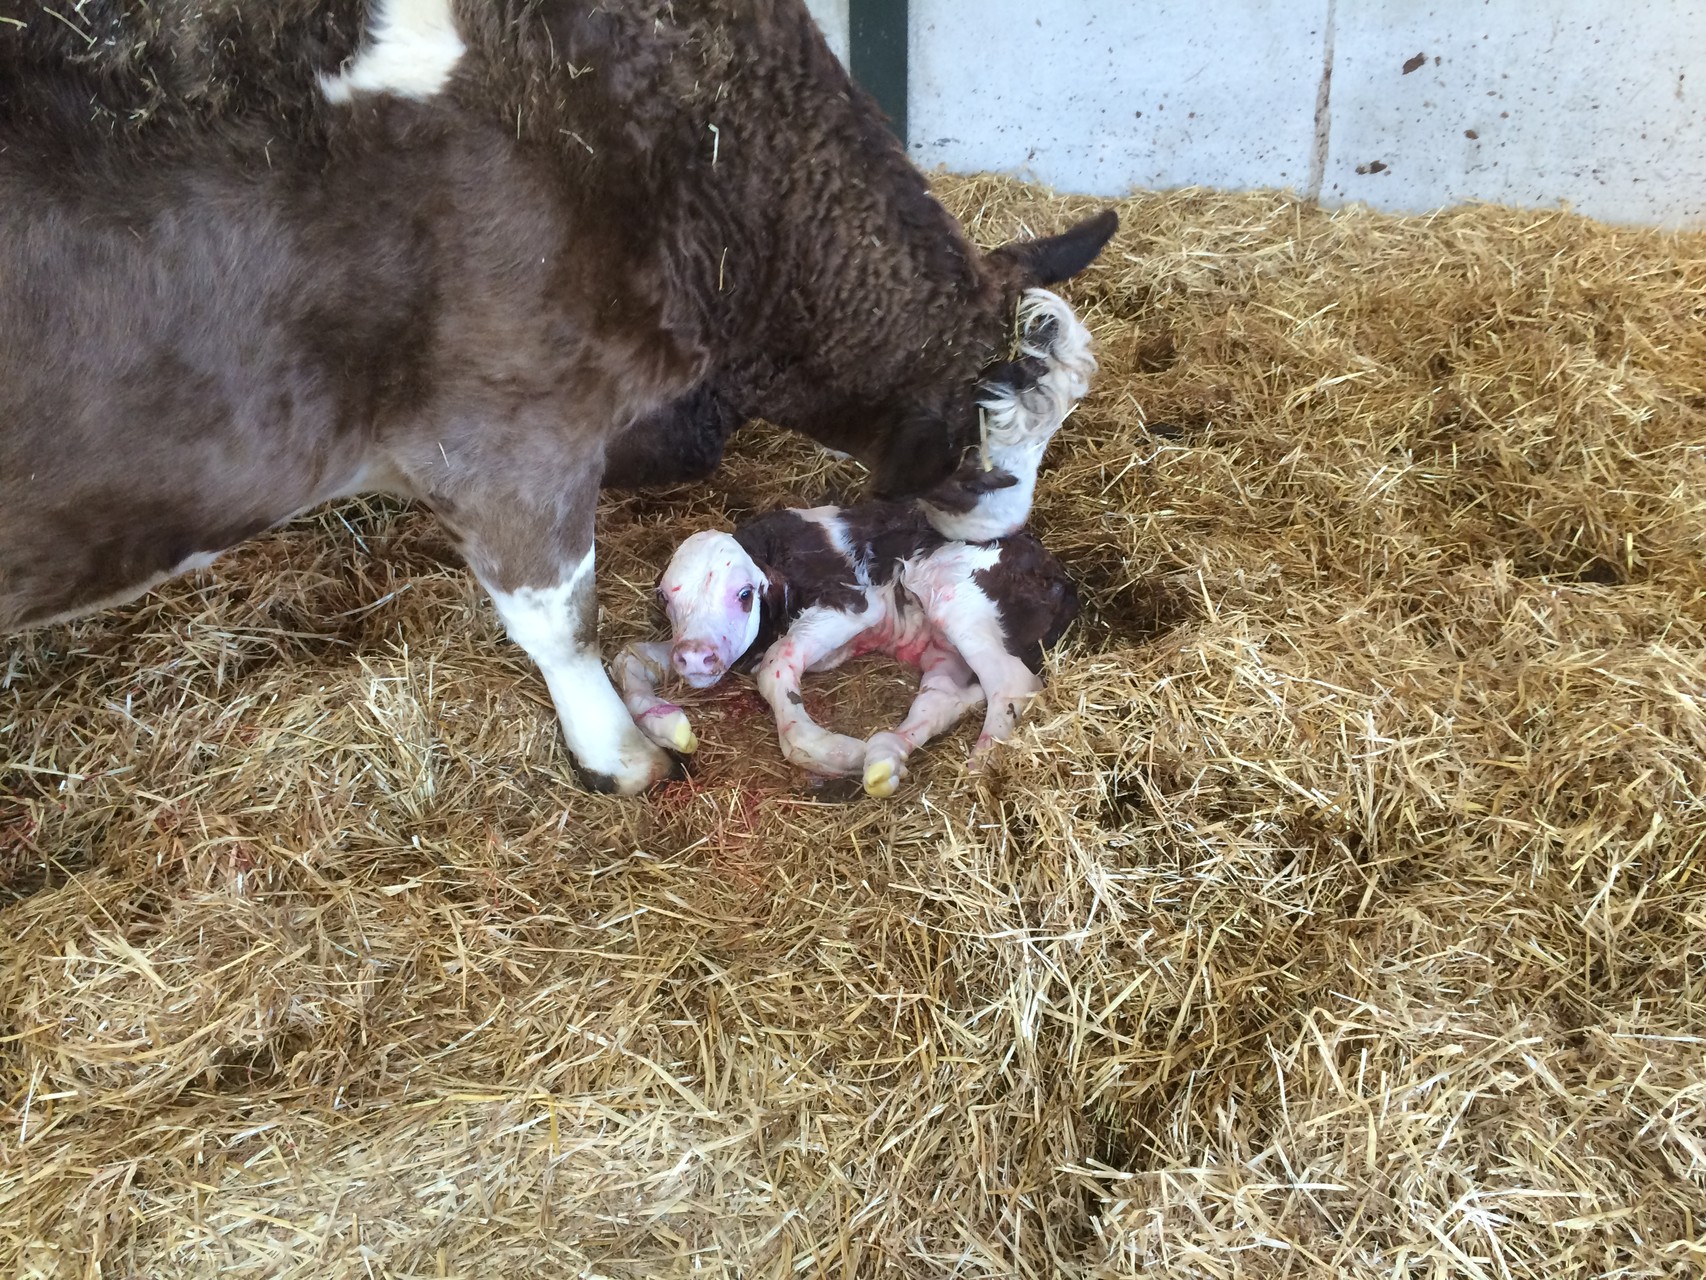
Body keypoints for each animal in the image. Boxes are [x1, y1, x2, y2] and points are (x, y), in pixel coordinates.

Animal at [614, 505, 1071, 798]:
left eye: (744, 594)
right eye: (666, 597)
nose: (695, 655)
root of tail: (1059, 575)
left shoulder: (856, 603)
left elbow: (777, 663)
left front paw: (832, 750)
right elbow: (626, 657)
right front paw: (670, 725)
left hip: (956, 597)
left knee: (1012, 683)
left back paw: (977, 768)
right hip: (941, 648)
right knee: (940, 698)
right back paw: (884, 758)